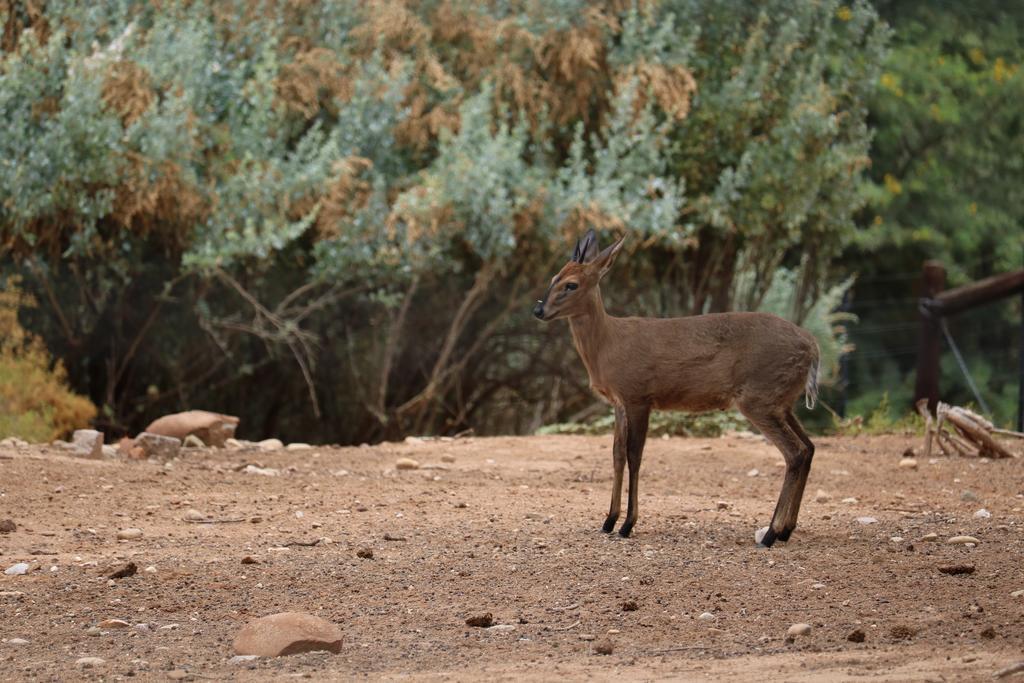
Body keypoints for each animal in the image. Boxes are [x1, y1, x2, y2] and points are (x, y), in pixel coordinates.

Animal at [532, 232, 819, 548]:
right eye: (553, 277)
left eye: (571, 284)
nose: (538, 310)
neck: (608, 345)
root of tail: (813, 347)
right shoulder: (619, 402)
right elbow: (617, 454)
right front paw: (608, 521)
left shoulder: (638, 395)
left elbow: (635, 455)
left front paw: (627, 524)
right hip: (782, 402)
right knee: (809, 447)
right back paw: (786, 530)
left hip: (759, 398)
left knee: (794, 452)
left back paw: (769, 534)